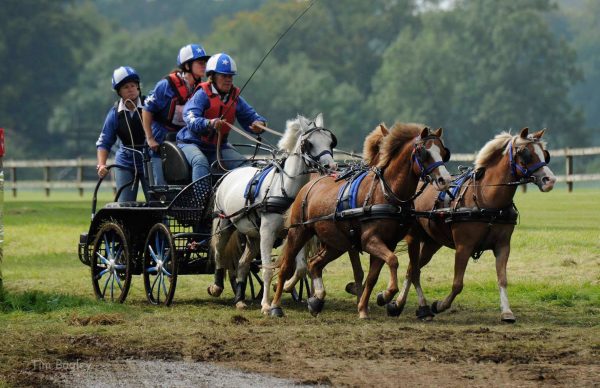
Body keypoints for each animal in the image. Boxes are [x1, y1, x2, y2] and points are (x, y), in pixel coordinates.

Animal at [210, 113, 338, 314]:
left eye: (330, 142)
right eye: (309, 144)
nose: (331, 167)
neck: (285, 188)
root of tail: (230, 172)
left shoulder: (296, 231)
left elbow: (300, 267)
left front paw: (285, 286)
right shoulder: (267, 232)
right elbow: (267, 269)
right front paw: (266, 305)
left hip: (253, 235)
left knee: (243, 263)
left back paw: (240, 299)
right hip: (225, 224)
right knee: (219, 253)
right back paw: (216, 287)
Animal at [270, 124, 450, 318]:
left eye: (443, 153)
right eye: (425, 153)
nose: (445, 180)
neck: (386, 192)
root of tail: (310, 184)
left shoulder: (388, 243)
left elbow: (373, 276)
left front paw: (364, 307)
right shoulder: (369, 240)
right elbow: (392, 260)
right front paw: (385, 295)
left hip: (336, 243)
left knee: (314, 263)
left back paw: (316, 300)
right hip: (299, 232)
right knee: (286, 267)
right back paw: (274, 306)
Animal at [396, 127, 556, 322]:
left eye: (544, 154)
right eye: (525, 153)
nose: (550, 180)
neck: (487, 199)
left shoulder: (503, 246)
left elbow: (502, 279)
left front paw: (507, 311)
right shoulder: (463, 247)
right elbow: (457, 284)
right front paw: (439, 305)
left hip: (432, 242)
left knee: (414, 268)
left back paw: (406, 305)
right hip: (415, 236)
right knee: (412, 269)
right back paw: (399, 303)